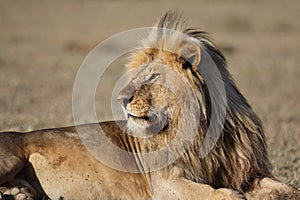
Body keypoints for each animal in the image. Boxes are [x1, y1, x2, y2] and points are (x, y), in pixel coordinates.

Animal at [0, 11, 300, 200]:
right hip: (11, 157)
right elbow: (208, 193)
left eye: (153, 76)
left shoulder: (246, 173)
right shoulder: (165, 183)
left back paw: (18, 194)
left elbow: (285, 188)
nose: (121, 99)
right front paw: (230, 195)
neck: (200, 129)